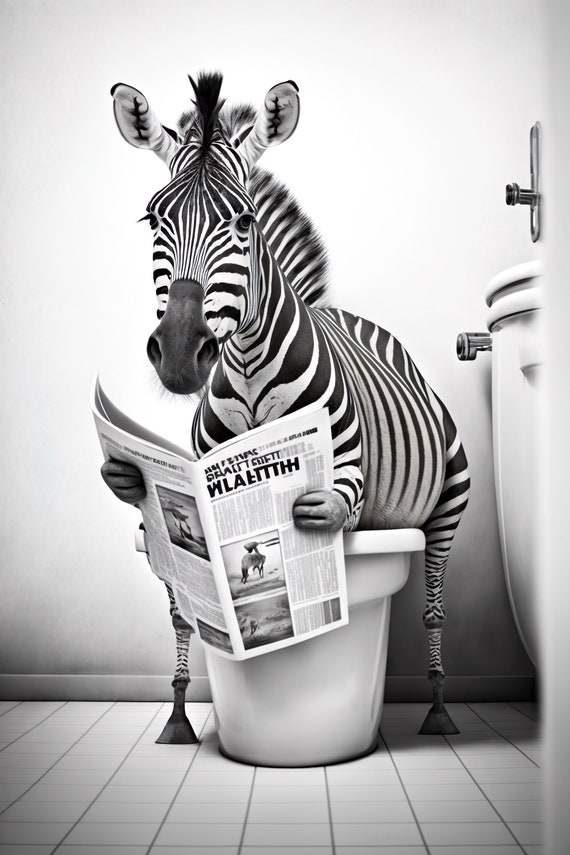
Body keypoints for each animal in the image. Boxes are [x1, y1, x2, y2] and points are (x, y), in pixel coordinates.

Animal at [102, 72, 470, 738]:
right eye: (152, 219)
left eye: (244, 222)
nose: (179, 353)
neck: (249, 367)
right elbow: (181, 608)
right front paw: (177, 714)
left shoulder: (349, 482)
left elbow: (335, 502)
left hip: (451, 498)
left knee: (432, 604)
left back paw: (436, 706)